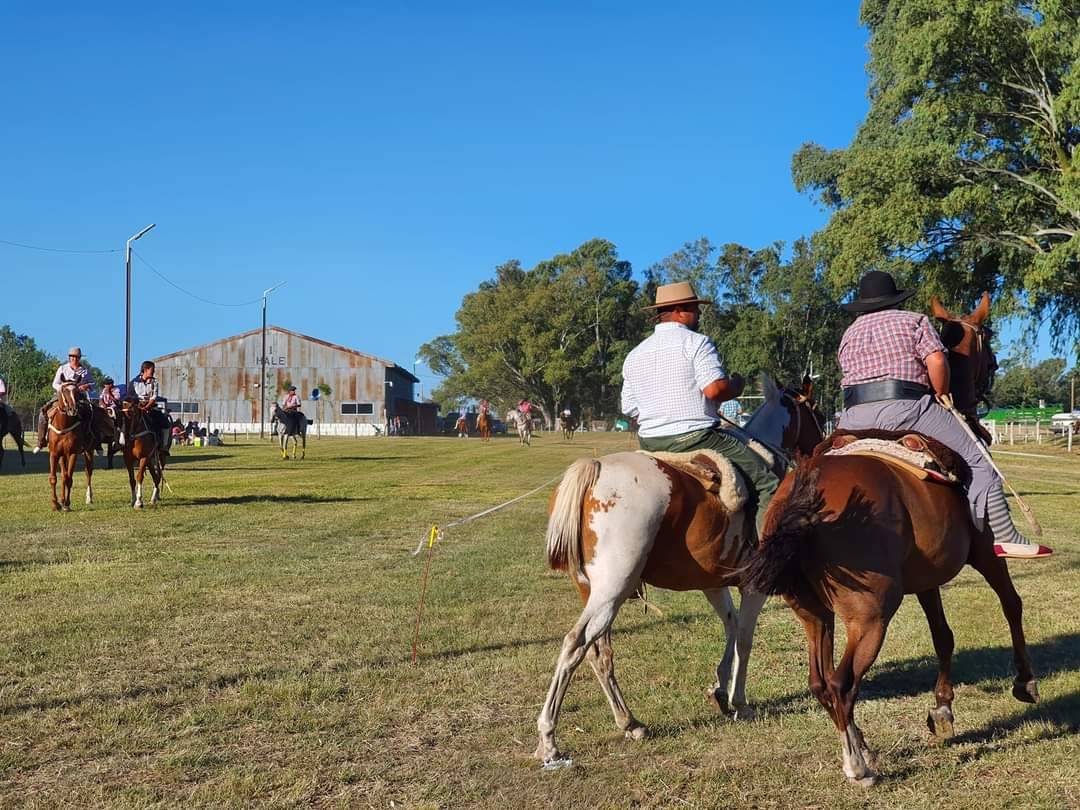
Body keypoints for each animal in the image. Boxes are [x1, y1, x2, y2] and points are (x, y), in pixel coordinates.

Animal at [533, 378, 825, 768]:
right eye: (815, 411)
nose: (820, 446)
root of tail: (595, 469)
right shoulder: (754, 585)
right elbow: (745, 638)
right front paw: (740, 702)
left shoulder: (714, 585)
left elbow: (731, 627)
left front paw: (720, 690)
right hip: (612, 590)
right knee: (574, 644)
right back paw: (549, 739)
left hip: (594, 591)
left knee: (599, 653)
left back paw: (630, 723)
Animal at [743, 295, 1036, 790]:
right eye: (991, 355)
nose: (988, 384)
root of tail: (809, 487)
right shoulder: (984, 554)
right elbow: (1011, 604)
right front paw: (1025, 682)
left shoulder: (927, 577)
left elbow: (943, 635)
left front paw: (943, 708)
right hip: (871, 614)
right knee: (842, 683)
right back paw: (858, 767)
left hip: (813, 612)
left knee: (821, 683)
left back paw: (862, 749)